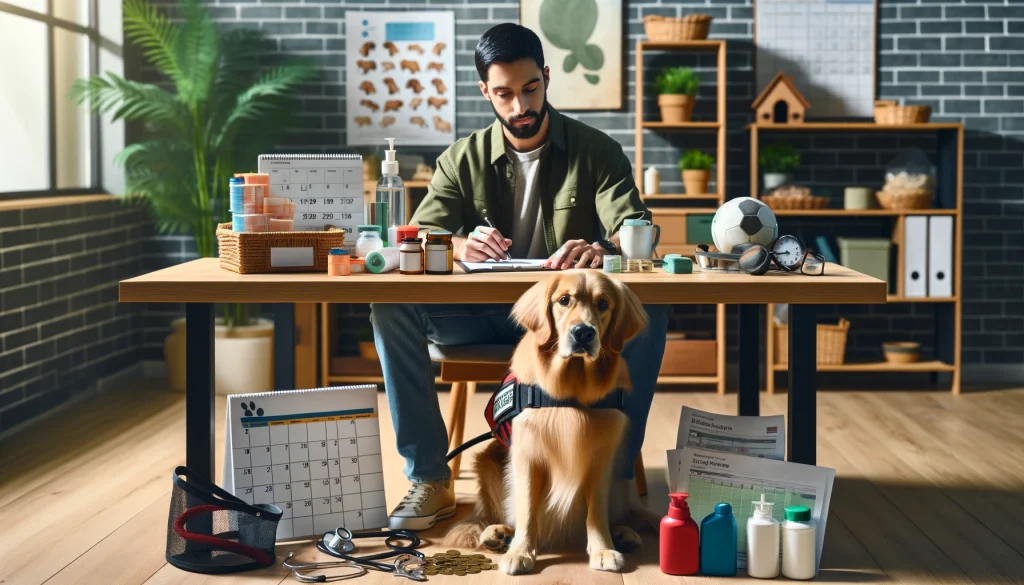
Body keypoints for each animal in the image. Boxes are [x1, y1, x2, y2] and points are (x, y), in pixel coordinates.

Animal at [446, 272, 647, 573]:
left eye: (603, 303)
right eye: (564, 300)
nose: (583, 333)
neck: (571, 393)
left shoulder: (601, 456)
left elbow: (596, 511)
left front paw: (603, 549)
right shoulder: (527, 454)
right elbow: (527, 509)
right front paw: (521, 551)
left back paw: (624, 534)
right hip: (488, 463)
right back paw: (497, 534)